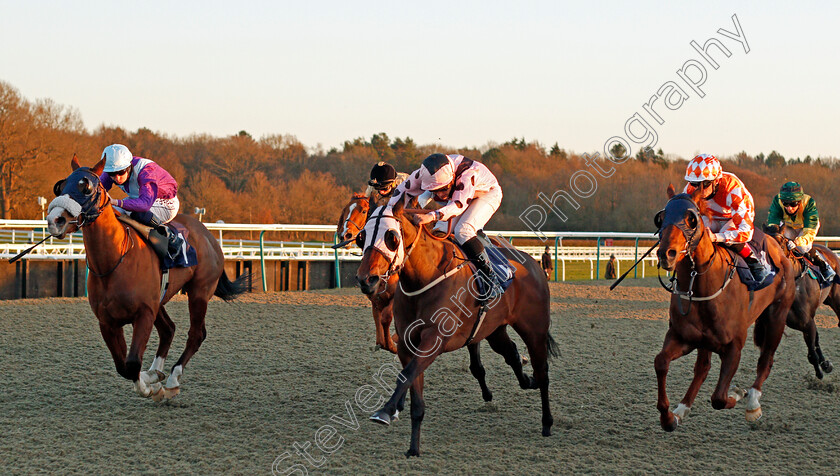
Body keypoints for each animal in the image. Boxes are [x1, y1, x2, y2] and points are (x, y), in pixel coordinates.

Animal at [45, 157, 248, 402]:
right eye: (61, 186)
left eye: (86, 187)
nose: (55, 220)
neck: (114, 261)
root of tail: (208, 234)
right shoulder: (107, 322)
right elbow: (123, 366)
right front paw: (151, 380)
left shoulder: (143, 314)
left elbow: (132, 363)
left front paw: (153, 388)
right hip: (159, 300)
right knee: (168, 330)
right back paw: (155, 372)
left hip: (199, 292)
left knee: (196, 334)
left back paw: (172, 380)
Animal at [356, 199, 556, 456]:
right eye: (362, 237)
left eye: (391, 236)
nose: (366, 279)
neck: (425, 278)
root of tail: (532, 263)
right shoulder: (407, 345)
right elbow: (412, 387)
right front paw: (413, 448)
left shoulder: (434, 340)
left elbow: (406, 375)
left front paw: (385, 411)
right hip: (494, 330)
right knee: (511, 353)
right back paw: (527, 380)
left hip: (534, 330)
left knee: (543, 372)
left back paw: (547, 422)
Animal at [656, 184, 796, 430]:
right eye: (662, 218)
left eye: (691, 219)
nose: (666, 254)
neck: (702, 288)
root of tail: (780, 249)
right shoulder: (683, 337)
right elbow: (661, 362)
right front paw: (669, 417)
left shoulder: (733, 347)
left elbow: (719, 398)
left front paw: (739, 394)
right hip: (705, 340)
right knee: (702, 368)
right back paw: (682, 409)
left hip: (776, 317)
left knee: (766, 360)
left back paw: (752, 402)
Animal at [764, 224, 836, 380]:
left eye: (780, 242)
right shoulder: (799, 322)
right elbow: (814, 345)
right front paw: (824, 365)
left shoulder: (807, 322)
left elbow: (812, 351)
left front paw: (820, 372)